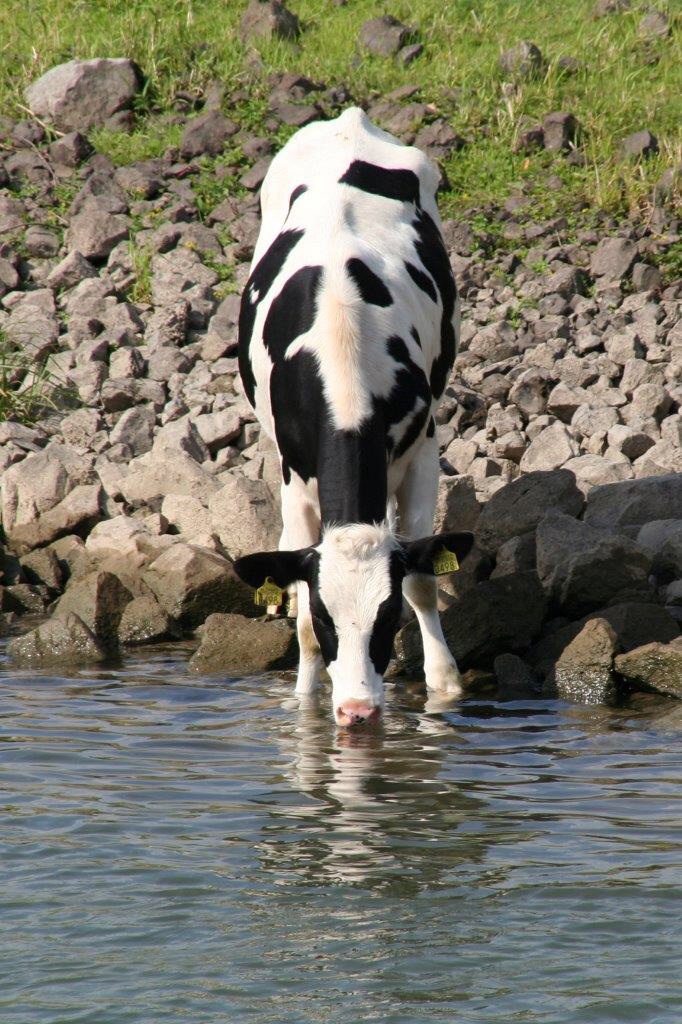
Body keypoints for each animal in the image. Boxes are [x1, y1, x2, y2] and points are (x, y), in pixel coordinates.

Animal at [234, 107, 473, 727]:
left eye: (386, 619)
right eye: (327, 619)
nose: (359, 711)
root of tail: (348, 121)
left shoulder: (424, 449)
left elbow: (423, 581)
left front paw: (444, 686)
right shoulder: (295, 480)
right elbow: (297, 608)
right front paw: (308, 702)